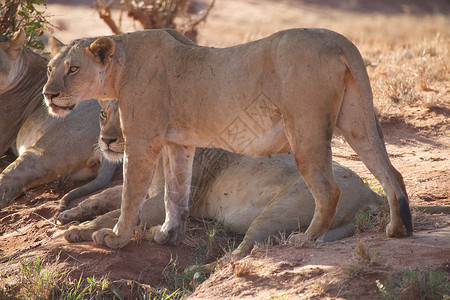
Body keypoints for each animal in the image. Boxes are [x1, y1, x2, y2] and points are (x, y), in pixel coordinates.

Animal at [59, 99, 382, 256]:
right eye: (103, 114)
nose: (106, 140)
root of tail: (371, 194)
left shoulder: (175, 200)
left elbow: (115, 213)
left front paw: (86, 230)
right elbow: (106, 197)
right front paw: (70, 214)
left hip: (280, 210)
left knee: (246, 249)